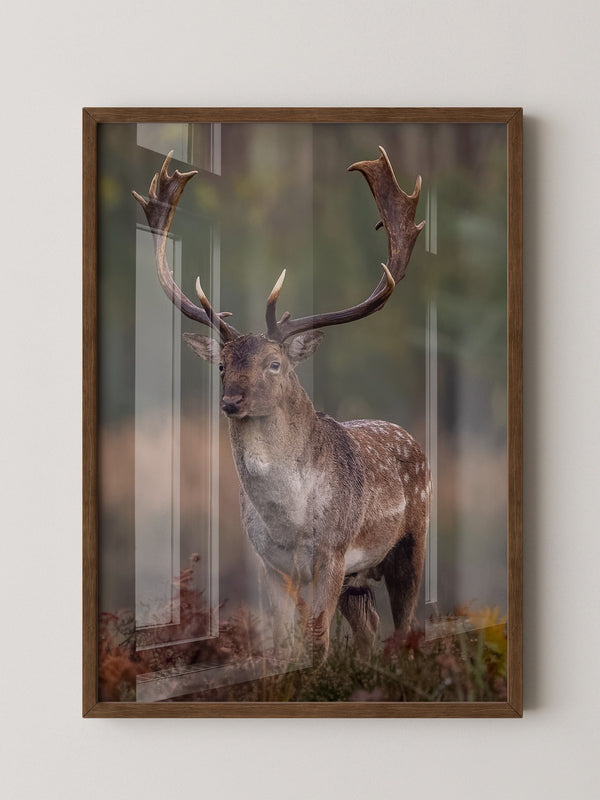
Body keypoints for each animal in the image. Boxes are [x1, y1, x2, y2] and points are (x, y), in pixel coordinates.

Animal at [133, 146, 431, 662]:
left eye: (275, 363)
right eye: (221, 365)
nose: (231, 400)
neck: (288, 520)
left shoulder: (333, 550)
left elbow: (316, 637)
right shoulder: (269, 563)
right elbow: (282, 639)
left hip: (411, 541)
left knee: (405, 627)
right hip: (359, 577)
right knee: (369, 627)